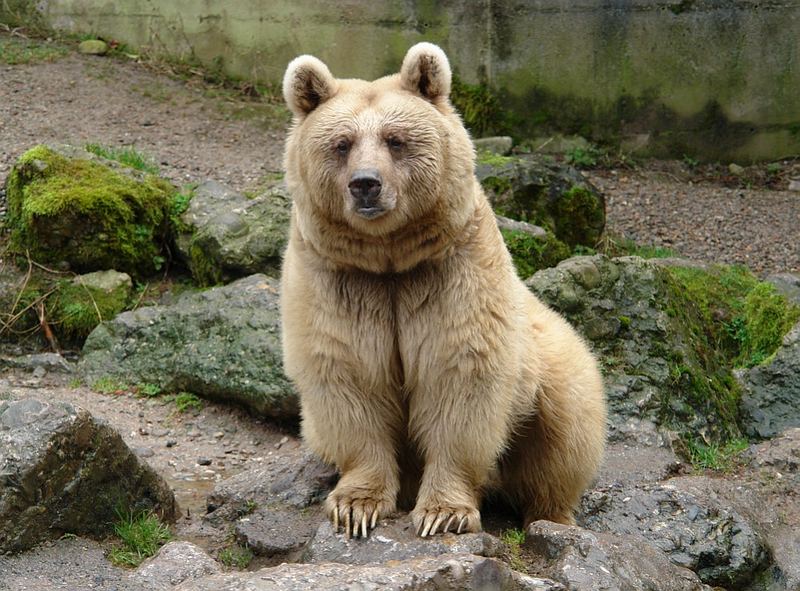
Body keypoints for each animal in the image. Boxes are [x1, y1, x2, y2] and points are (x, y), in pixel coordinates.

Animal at [282, 42, 608, 540]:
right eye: (341, 144)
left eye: (395, 140)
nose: (365, 184)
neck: (389, 260)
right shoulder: (339, 282)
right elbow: (350, 379)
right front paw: (356, 506)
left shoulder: (450, 277)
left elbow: (460, 381)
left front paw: (444, 513)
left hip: (548, 361)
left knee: (565, 432)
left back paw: (552, 515)